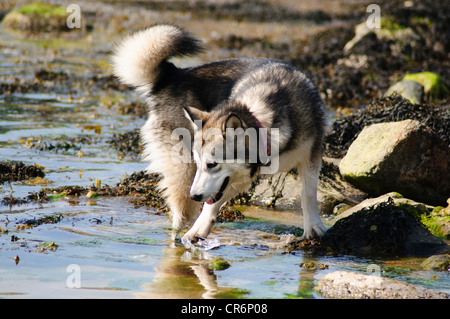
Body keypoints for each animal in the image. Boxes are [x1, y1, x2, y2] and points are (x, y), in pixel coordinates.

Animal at [110, 24, 326, 245]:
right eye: (200, 163)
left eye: (212, 164)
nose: (195, 196)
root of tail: (173, 74)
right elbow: (211, 204)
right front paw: (197, 231)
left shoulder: (310, 155)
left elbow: (308, 193)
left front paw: (313, 227)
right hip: (183, 174)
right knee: (179, 219)